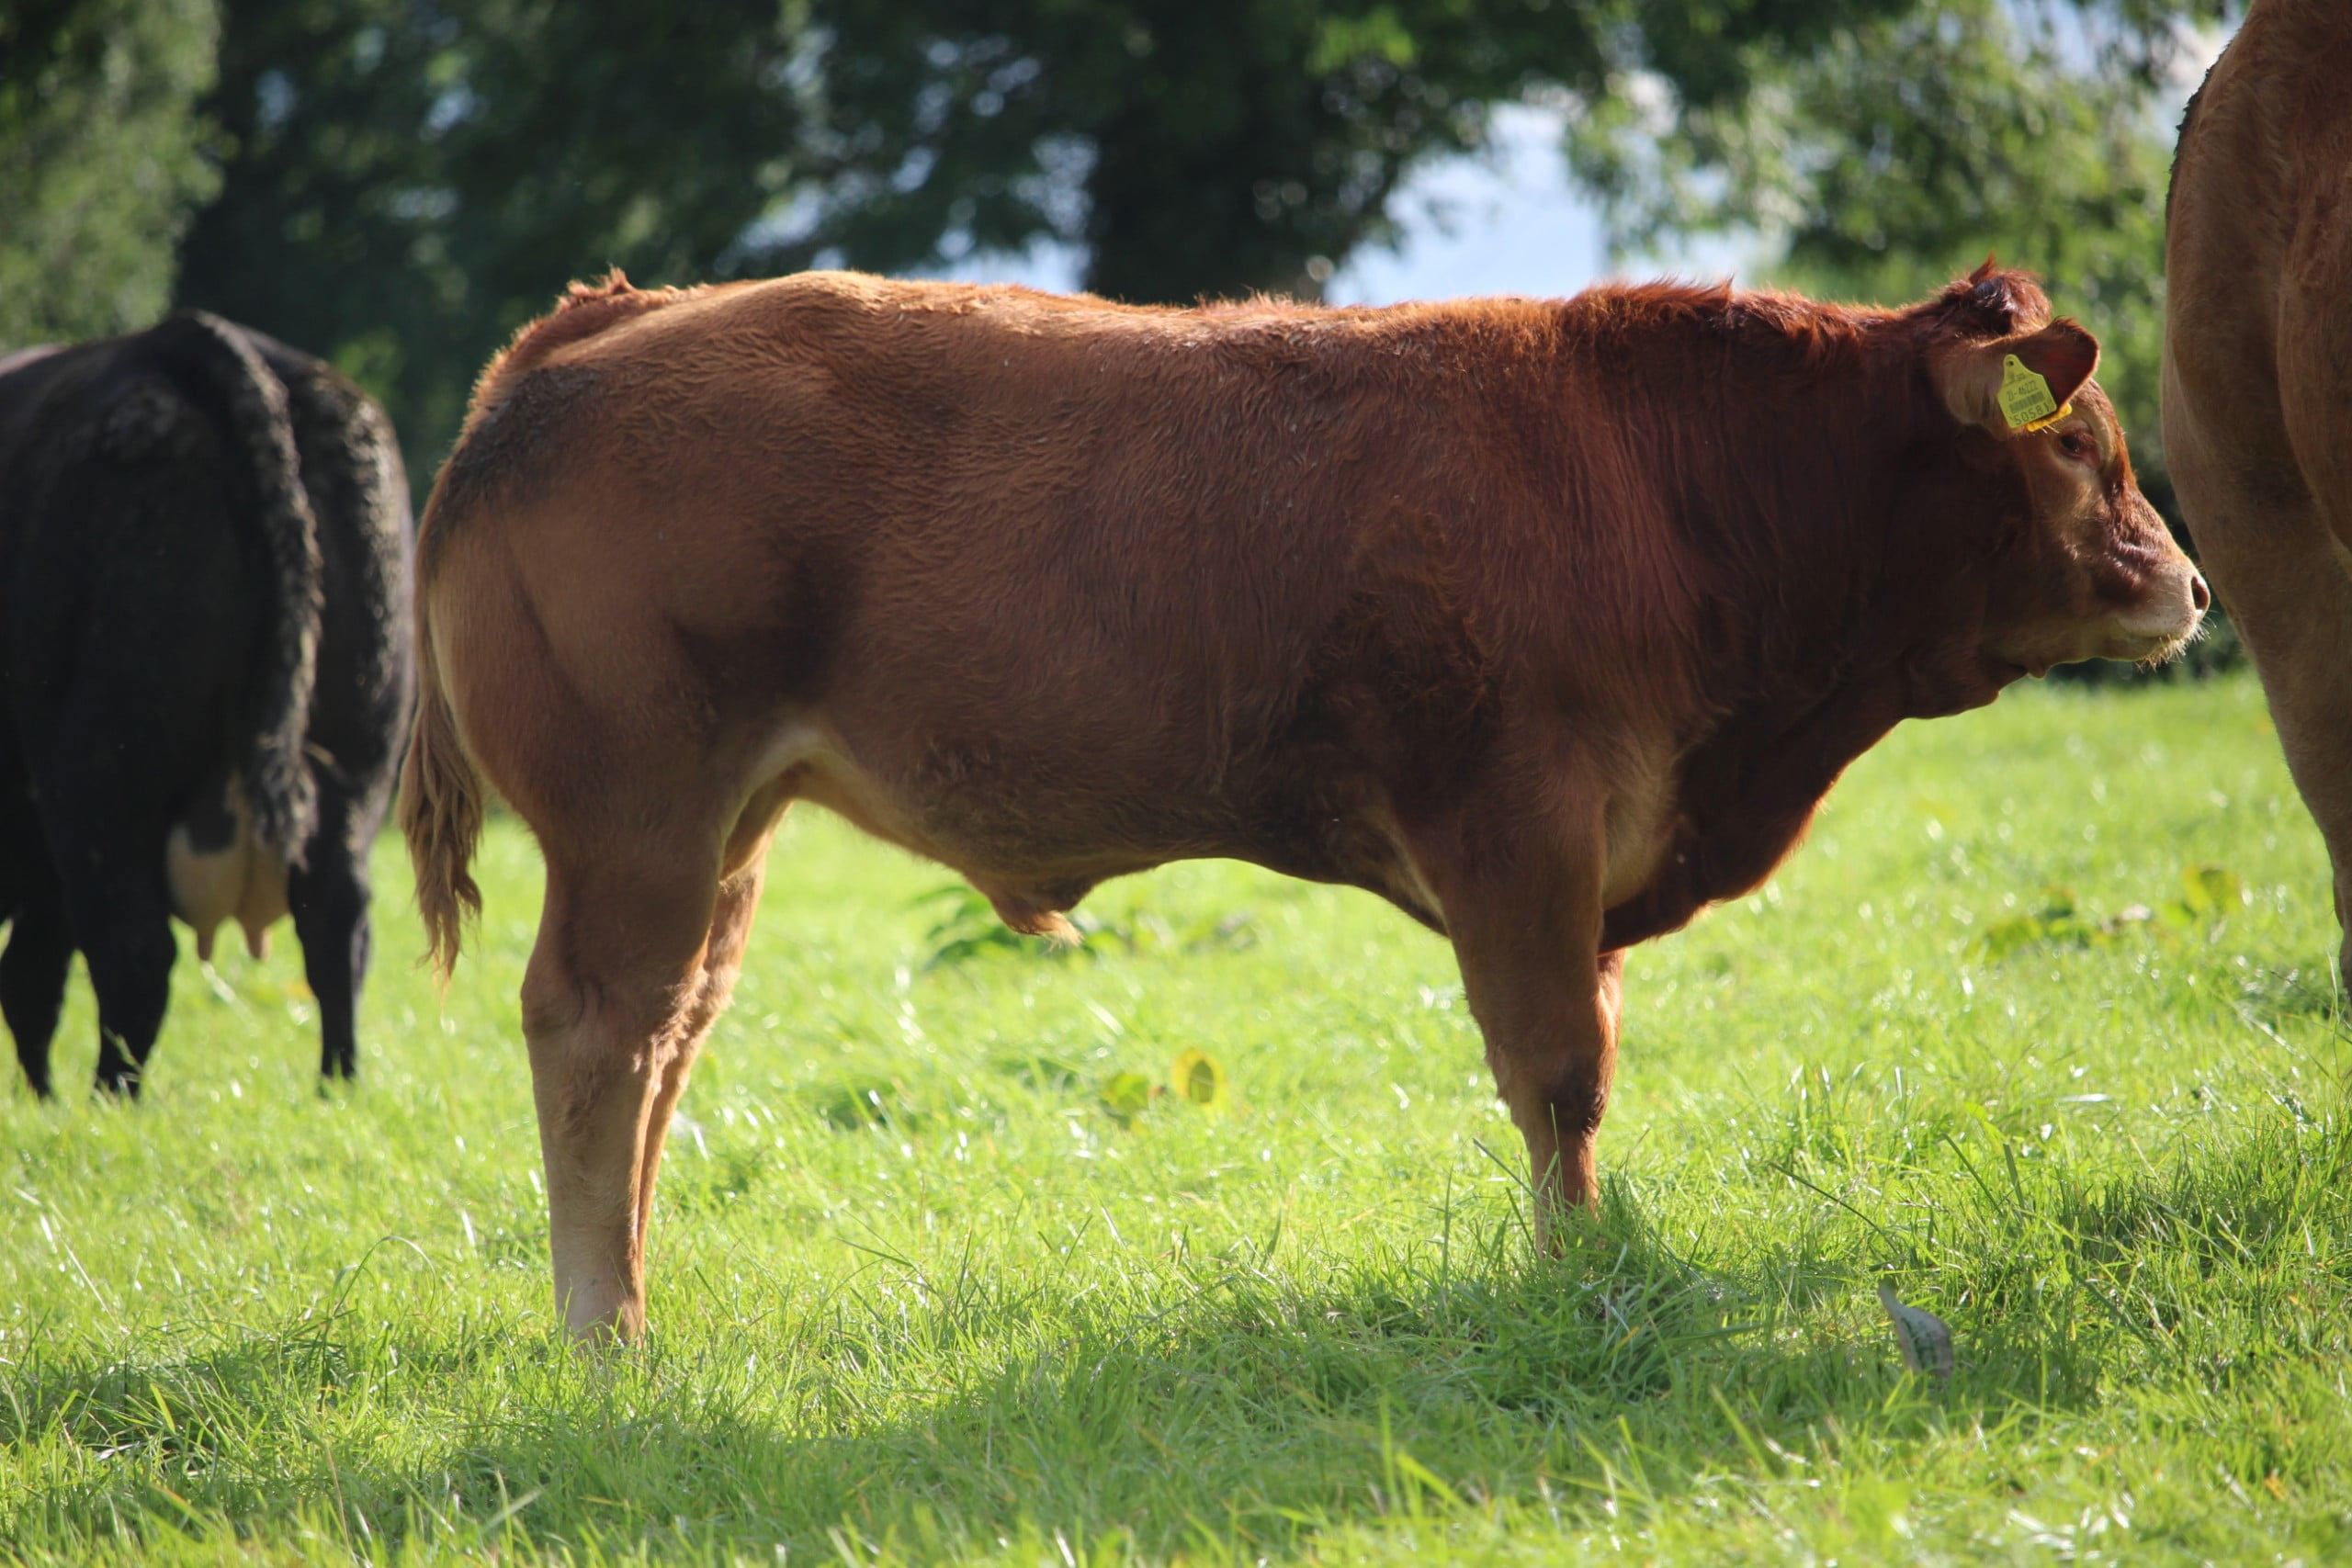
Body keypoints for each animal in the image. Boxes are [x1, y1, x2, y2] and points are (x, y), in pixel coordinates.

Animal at [0, 311, 415, 1096]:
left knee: (128, 951)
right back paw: (335, 1089)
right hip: (359, 756)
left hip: (100, 773)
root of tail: (183, 337)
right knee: (339, 929)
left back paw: (106, 1103)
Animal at [401, 263, 2205, 1342]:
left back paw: (638, 1302)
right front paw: (1572, 1272)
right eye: (2082, 450)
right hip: (636, 815)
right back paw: (605, 1332)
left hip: (731, 827)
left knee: (670, 1033)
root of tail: (599, 327)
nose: (2188, 584)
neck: (1661, 482)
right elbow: (1559, 1070)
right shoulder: (1520, 820)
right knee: (596, 1026)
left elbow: (1585, 1062)